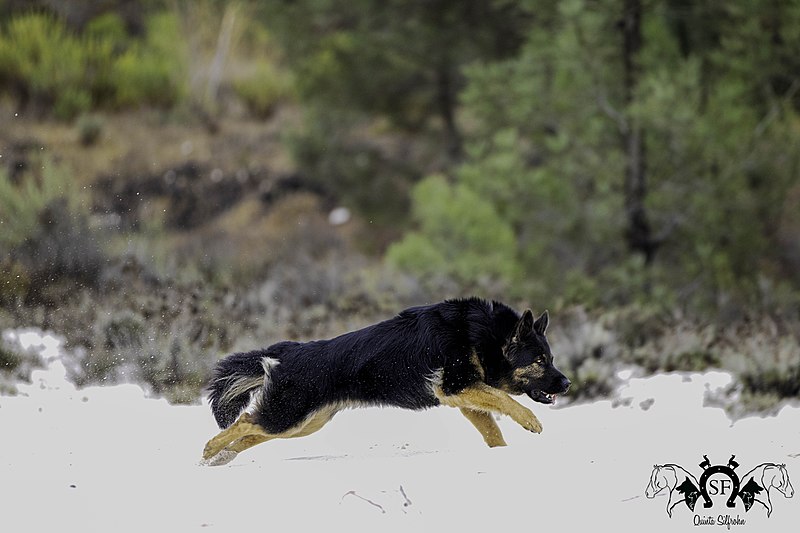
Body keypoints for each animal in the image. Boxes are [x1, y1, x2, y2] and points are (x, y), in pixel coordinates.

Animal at [203, 298, 572, 464]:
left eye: (551, 359)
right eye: (540, 362)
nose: (567, 384)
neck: (487, 337)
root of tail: (288, 351)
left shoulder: (465, 397)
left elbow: (493, 430)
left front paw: (502, 457)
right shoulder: (456, 388)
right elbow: (507, 400)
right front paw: (531, 421)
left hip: (304, 424)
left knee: (253, 431)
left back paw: (220, 458)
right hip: (290, 416)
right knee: (245, 421)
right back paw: (210, 449)